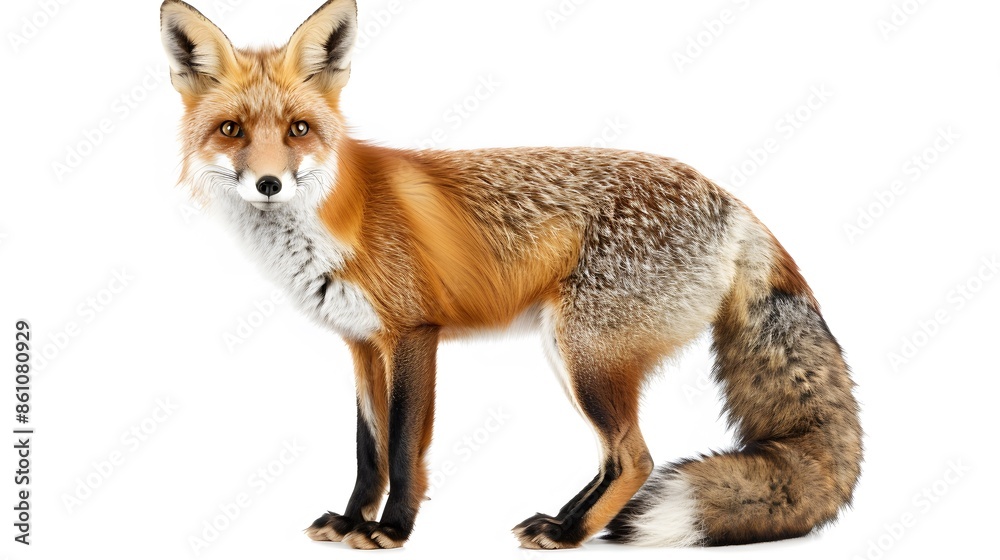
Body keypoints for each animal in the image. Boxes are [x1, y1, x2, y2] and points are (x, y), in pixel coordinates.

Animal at [160, 0, 862, 550]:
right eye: (231, 130)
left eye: (298, 129)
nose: (268, 183)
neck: (335, 221)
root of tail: (730, 200)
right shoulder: (361, 342)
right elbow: (368, 449)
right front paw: (353, 519)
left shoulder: (414, 333)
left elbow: (404, 447)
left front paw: (392, 529)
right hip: (572, 353)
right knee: (613, 458)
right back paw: (560, 521)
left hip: (586, 357)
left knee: (636, 457)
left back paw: (572, 535)